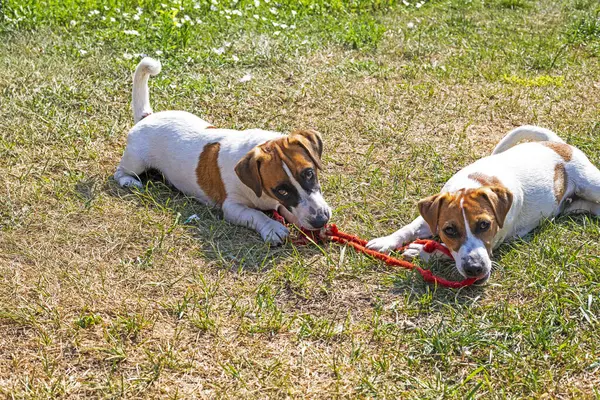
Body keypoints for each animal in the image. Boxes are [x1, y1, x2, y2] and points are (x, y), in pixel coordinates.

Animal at [116, 57, 332, 244]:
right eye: (282, 190)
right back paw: (128, 181)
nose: (321, 220)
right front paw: (272, 227)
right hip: (136, 162)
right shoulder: (232, 207)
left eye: (309, 173)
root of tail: (146, 116)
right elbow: (255, 214)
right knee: (120, 172)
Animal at [366, 126, 600, 282]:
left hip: (592, 185)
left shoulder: (497, 238)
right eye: (449, 230)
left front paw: (423, 252)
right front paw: (386, 241)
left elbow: (448, 251)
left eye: (484, 225)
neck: (471, 184)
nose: (475, 269)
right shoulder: (431, 218)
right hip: (580, 205)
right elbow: (408, 228)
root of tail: (558, 144)